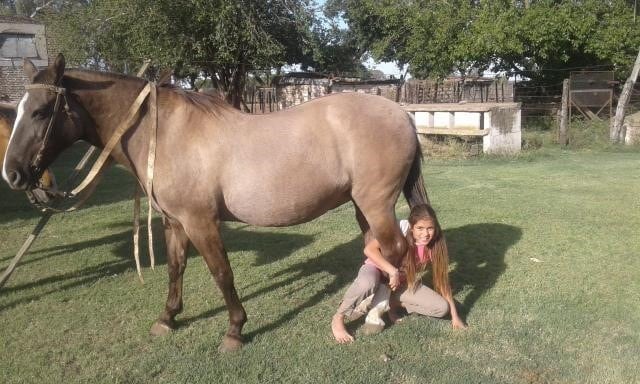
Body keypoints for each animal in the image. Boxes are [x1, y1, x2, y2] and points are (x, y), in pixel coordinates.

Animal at [3, 54, 430, 352]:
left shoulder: (201, 222)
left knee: (395, 249)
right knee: (377, 253)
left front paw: (235, 330)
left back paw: (378, 314)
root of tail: (401, 114)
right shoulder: (174, 222)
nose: (13, 175)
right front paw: (168, 318)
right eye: (17, 111)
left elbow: (221, 273)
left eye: (40, 112)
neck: (165, 133)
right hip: (361, 206)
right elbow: (175, 269)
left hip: (375, 203)